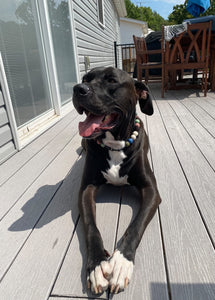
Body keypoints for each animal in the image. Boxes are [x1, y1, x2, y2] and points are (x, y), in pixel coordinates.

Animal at [72, 67, 161, 294]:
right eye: (85, 78)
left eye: (112, 80)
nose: (78, 88)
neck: (115, 144)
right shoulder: (85, 190)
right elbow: (91, 226)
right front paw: (96, 265)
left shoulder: (151, 190)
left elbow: (135, 226)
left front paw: (121, 263)